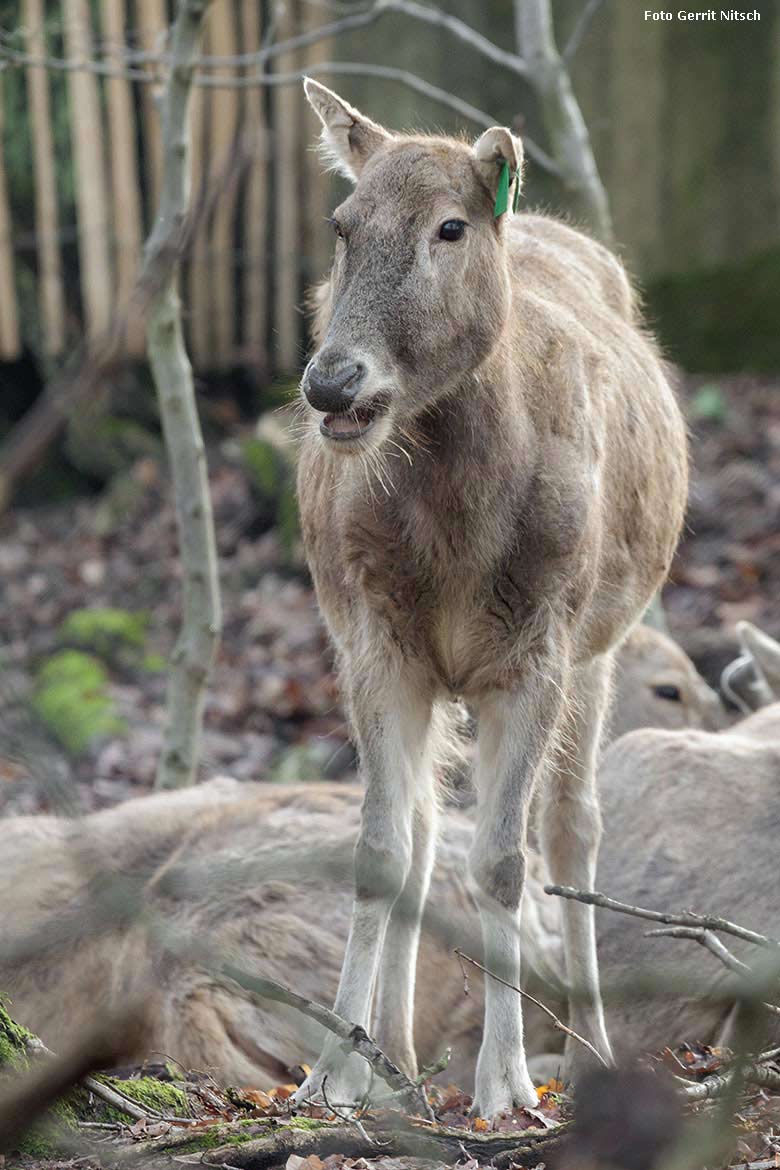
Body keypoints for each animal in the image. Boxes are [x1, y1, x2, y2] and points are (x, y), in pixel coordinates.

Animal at [294, 82, 687, 1113]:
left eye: (450, 226)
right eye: (342, 225)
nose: (331, 381)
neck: (457, 537)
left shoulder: (539, 642)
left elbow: (507, 863)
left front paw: (505, 1085)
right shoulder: (376, 638)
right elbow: (380, 851)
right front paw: (330, 1074)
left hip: (599, 644)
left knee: (574, 828)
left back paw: (587, 1051)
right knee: (429, 830)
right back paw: (392, 1053)